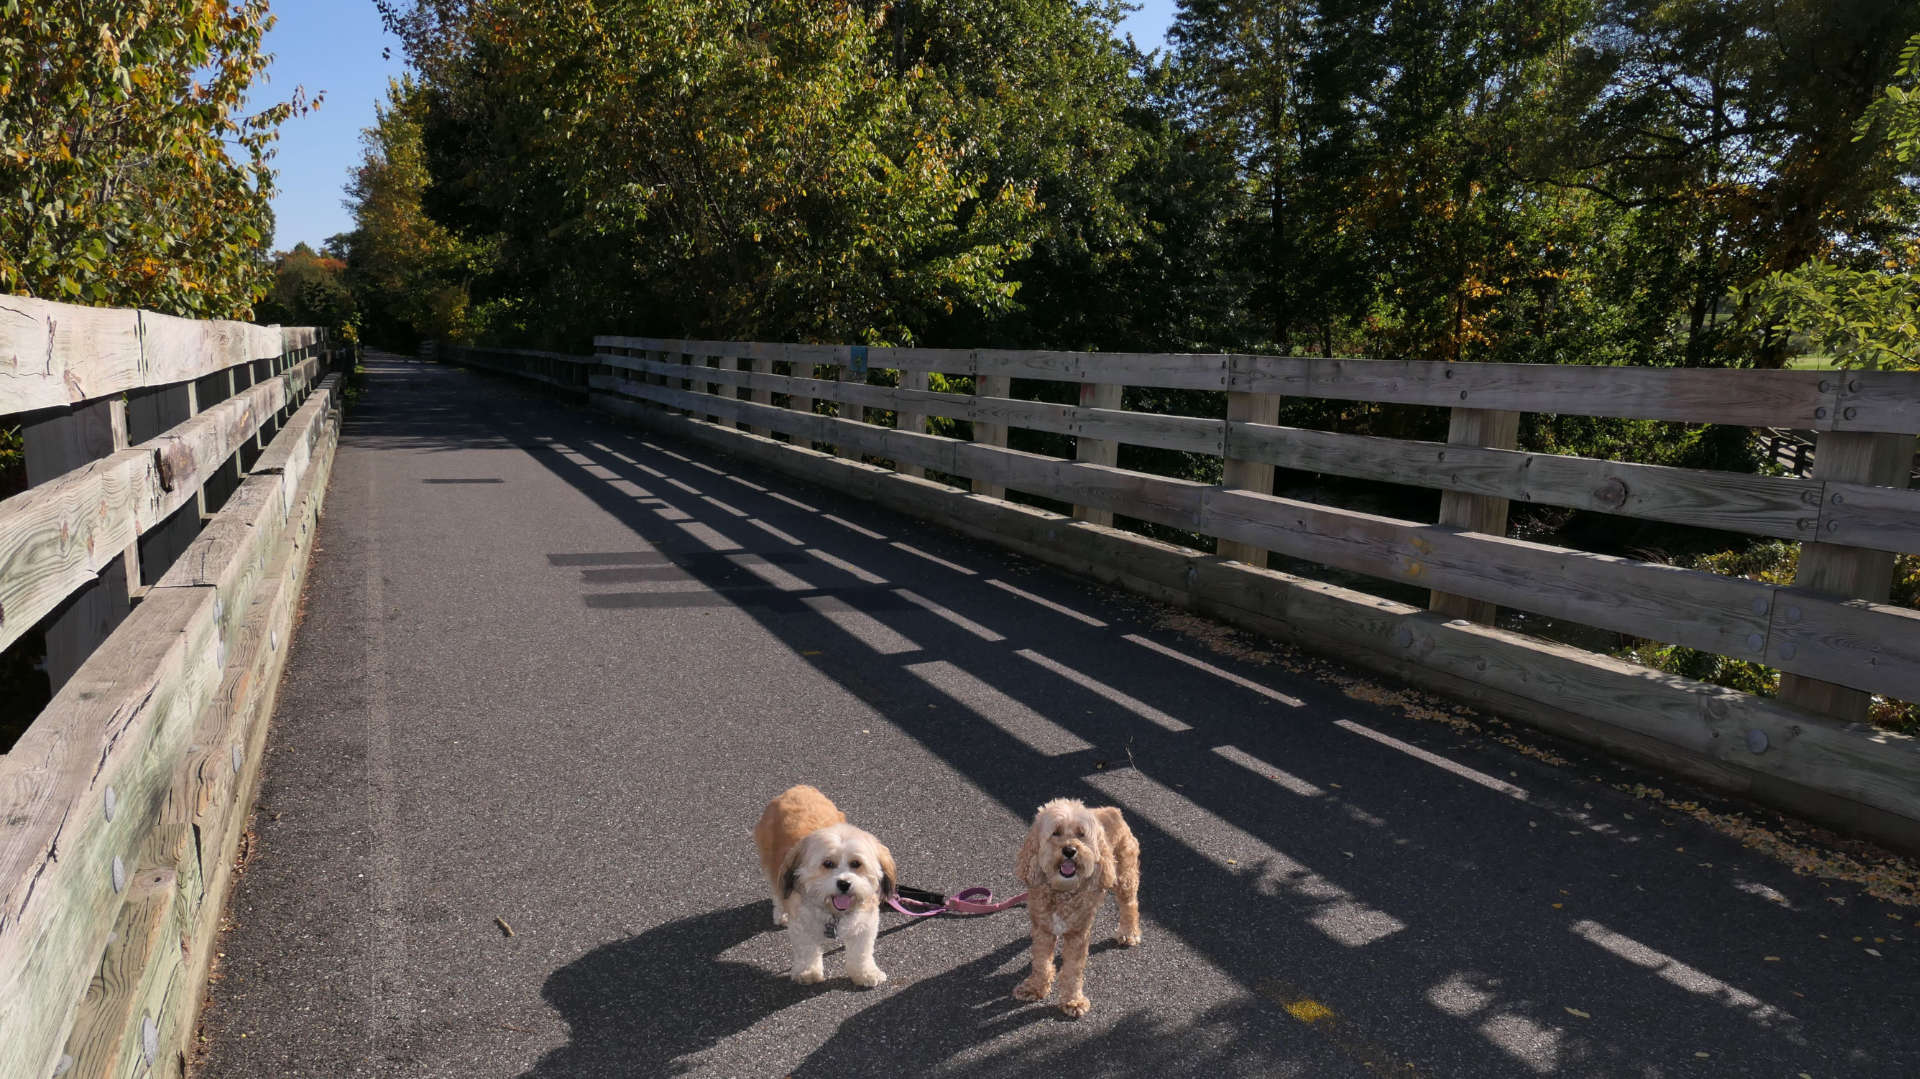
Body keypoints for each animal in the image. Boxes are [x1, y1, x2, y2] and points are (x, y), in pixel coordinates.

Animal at [748, 779, 898, 983]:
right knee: (777, 890)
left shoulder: (866, 924)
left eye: (856, 863)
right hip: (771, 863)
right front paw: (808, 972)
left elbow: (862, 953)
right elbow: (807, 950)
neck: (833, 913)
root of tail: (797, 789)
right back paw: (781, 912)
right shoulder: (802, 925)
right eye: (828, 863)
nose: (844, 884)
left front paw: (865, 973)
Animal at [1013, 794, 1128, 1013]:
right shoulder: (1043, 929)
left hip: (1125, 875)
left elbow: (1073, 970)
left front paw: (1073, 1001)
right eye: (1056, 832)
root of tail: (1112, 810)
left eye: (1081, 834)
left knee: (1130, 905)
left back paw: (1129, 933)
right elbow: (1040, 962)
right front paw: (1035, 988)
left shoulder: (1078, 934)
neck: (1063, 892)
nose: (1069, 850)